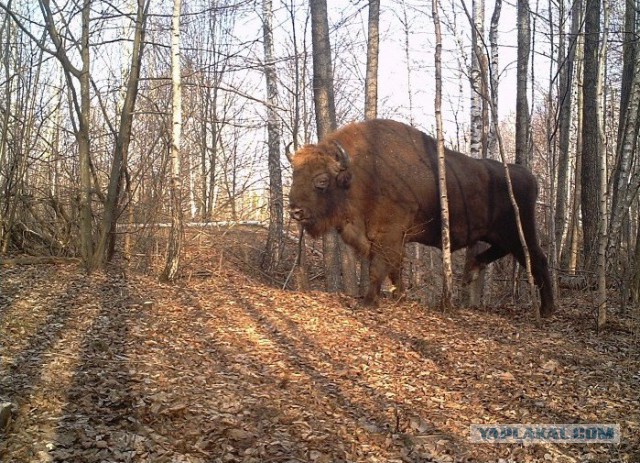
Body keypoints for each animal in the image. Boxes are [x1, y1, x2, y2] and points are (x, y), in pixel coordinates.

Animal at [290, 118, 556, 320]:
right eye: (294, 175)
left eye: (321, 181)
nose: (295, 211)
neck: (359, 175)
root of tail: (529, 177)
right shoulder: (391, 239)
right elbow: (394, 269)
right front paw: (399, 297)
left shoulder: (389, 235)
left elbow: (379, 268)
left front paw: (368, 301)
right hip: (499, 234)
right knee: (503, 253)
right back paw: (472, 270)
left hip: (520, 231)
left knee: (537, 259)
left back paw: (547, 310)